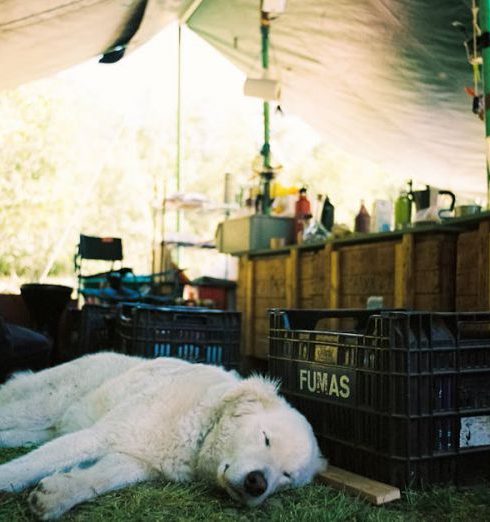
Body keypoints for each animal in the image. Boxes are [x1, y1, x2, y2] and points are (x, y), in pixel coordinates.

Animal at [0, 352, 326, 516]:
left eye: (286, 476)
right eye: (265, 437)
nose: (257, 484)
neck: (201, 429)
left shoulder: (135, 461)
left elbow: (96, 481)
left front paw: (56, 495)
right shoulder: (102, 435)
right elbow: (29, 466)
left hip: (36, 429)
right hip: (38, 407)